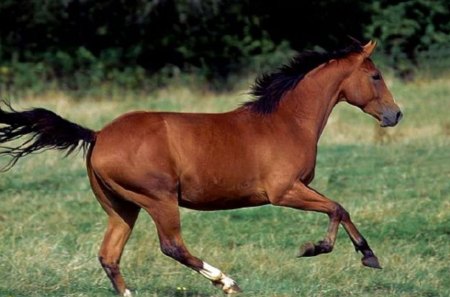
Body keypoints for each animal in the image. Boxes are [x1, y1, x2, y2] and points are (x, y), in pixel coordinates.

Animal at [0, 40, 400, 294]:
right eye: (376, 76)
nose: (395, 115)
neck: (287, 121)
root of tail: (97, 135)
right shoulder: (284, 190)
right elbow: (336, 208)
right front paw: (316, 249)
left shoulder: (298, 187)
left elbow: (341, 209)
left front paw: (369, 256)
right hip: (159, 200)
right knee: (173, 246)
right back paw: (227, 282)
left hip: (121, 207)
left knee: (109, 257)